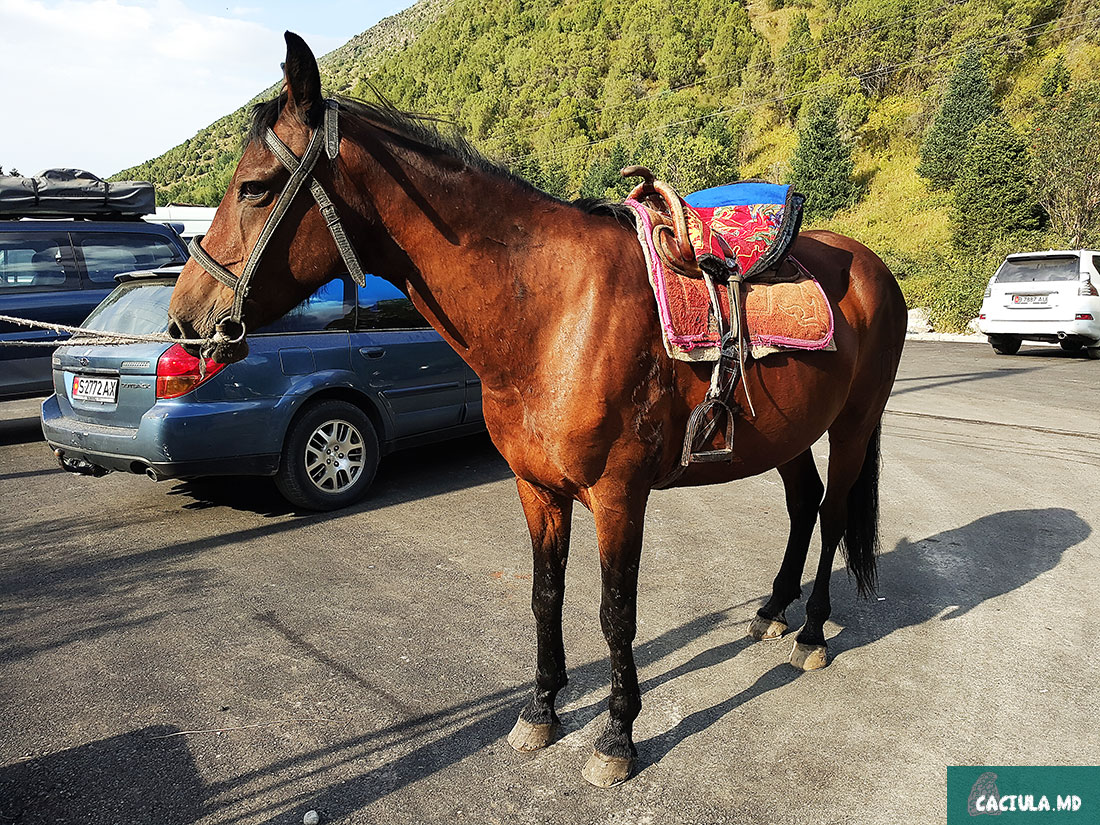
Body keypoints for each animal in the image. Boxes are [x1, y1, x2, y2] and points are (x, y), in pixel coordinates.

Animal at [165, 35, 902, 792]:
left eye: (254, 187)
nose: (186, 319)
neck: (554, 312)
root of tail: (872, 266)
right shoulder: (537, 488)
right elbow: (546, 595)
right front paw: (542, 709)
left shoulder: (618, 495)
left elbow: (615, 612)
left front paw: (617, 735)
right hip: (791, 434)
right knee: (805, 503)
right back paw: (773, 610)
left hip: (853, 424)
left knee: (834, 513)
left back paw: (811, 632)